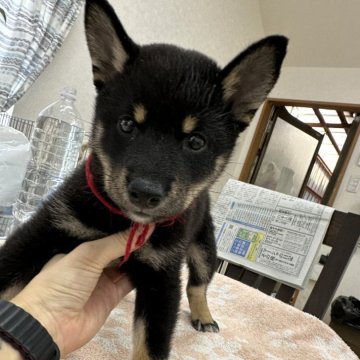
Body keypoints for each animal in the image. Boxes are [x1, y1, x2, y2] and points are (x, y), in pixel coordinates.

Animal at [0, 0, 286, 358]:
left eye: (195, 142)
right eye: (126, 124)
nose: (145, 193)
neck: (124, 221)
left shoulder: (162, 276)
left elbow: (152, 344)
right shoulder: (42, 231)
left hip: (205, 246)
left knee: (199, 284)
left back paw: (204, 317)